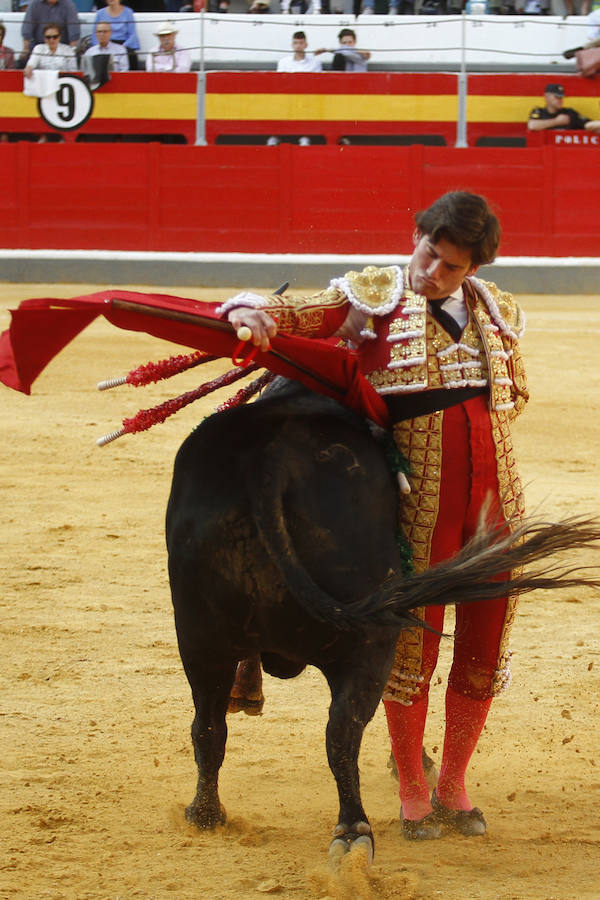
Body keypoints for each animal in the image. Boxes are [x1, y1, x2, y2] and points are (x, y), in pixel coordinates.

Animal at [166, 376, 596, 860]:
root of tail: (268, 462)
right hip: (366, 642)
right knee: (345, 730)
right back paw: (358, 829)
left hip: (199, 636)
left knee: (209, 727)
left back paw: (206, 815)